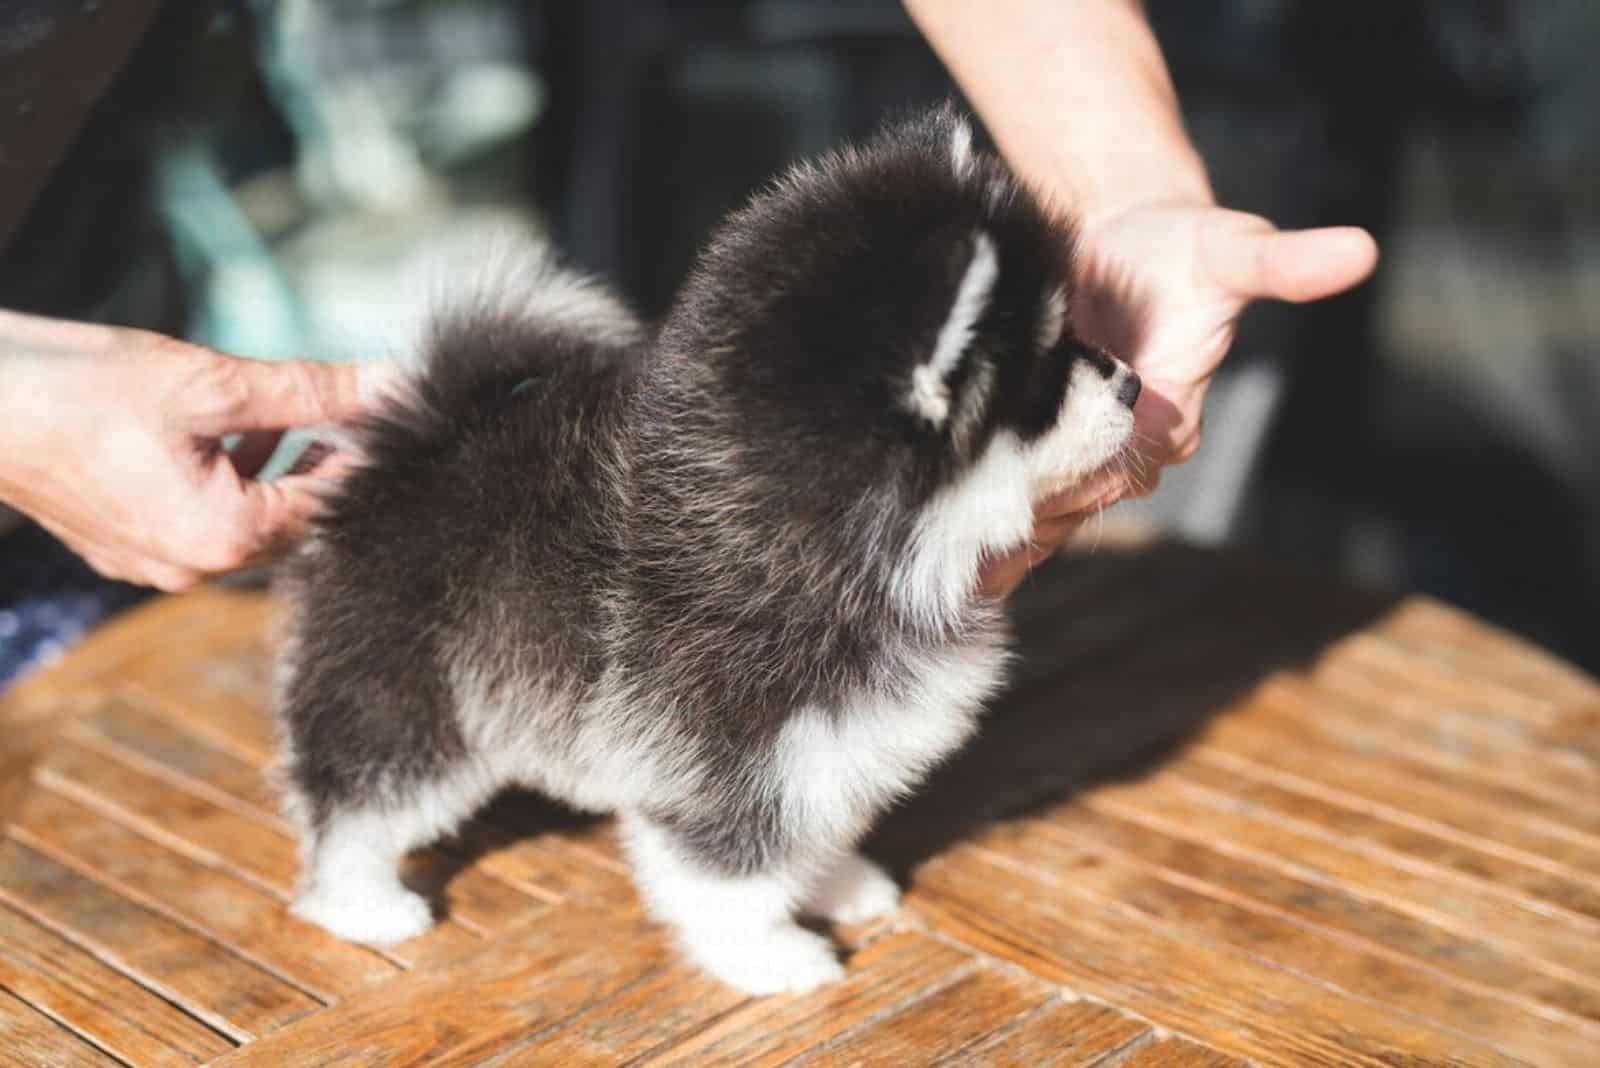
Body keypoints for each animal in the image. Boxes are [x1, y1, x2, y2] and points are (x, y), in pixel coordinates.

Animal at [278, 106, 1139, 991]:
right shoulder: (723, 765)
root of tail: (418, 443)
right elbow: (733, 875)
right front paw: (768, 954)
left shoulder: (827, 752)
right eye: (1044, 374)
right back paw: (360, 902)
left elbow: (816, 830)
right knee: (354, 797)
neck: (805, 552)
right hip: (411, 697)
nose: (1133, 383)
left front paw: (837, 883)